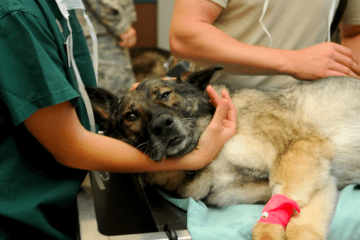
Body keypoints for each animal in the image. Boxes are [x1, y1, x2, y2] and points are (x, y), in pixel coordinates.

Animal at [86, 67, 360, 240]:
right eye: (131, 116)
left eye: (165, 94)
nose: (162, 125)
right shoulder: (319, 179)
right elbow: (296, 222)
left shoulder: (300, 151)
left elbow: (279, 221)